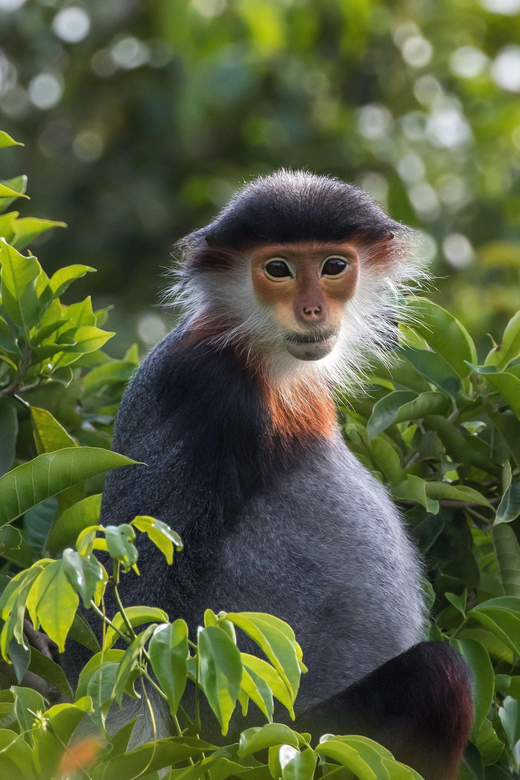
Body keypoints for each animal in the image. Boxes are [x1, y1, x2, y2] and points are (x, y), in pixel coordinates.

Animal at [64, 171, 472, 780]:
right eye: (277, 269)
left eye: (333, 266)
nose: (311, 310)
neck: (257, 356)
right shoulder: (202, 390)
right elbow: (136, 615)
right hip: (294, 738)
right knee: (440, 675)